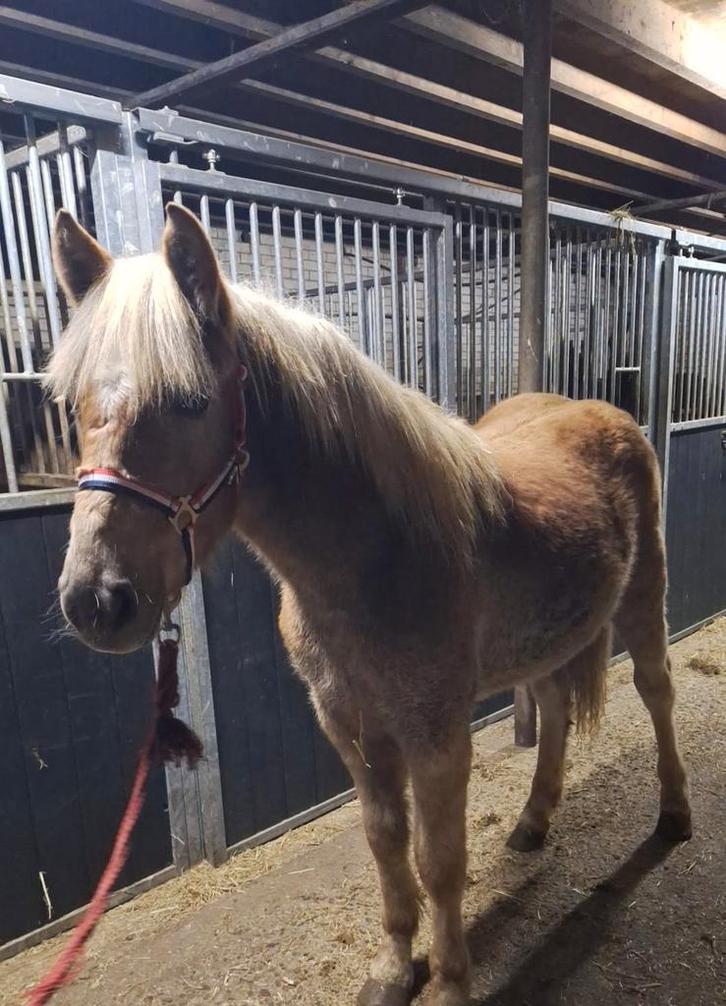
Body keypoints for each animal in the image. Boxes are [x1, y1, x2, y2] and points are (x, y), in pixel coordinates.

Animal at [47, 204, 691, 1006]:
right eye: (71, 404)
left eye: (191, 403)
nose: (96, 600)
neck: (371, 560)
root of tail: (598, 409)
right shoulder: (351, 727)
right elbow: (387, 845)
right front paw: (392, 970)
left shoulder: (436, 736)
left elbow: (440, 860)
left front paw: (448, 984)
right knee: (552, 706)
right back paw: (533, 823)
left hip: (643, 599)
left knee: (656, 690)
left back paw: (674, 814)